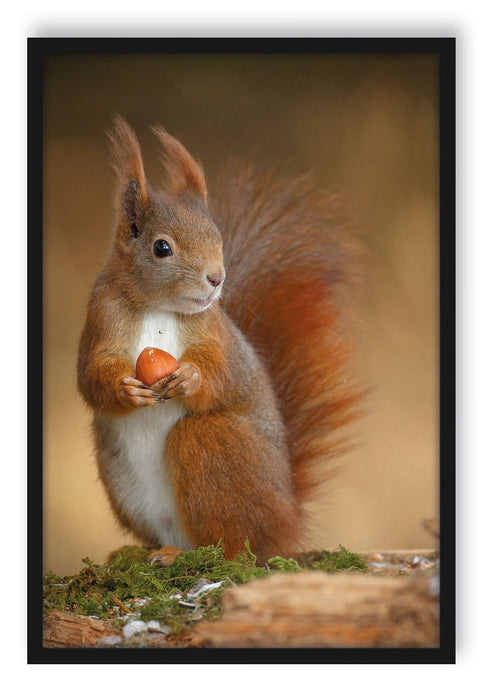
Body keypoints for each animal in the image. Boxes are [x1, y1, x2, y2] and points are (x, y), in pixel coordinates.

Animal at [77, 115, 362, 566]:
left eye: (217, 237)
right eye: (162, 247)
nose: (216, 278)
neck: (158, 308)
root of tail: (287, 523)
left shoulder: (216, 333)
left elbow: (222, 371)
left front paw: (191, 378)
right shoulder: (101, 319)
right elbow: (91, 376)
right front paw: (125, 389)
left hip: (213, 444)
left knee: (233, 545)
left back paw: (191, 556)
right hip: (120, 477)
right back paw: (158, 552)